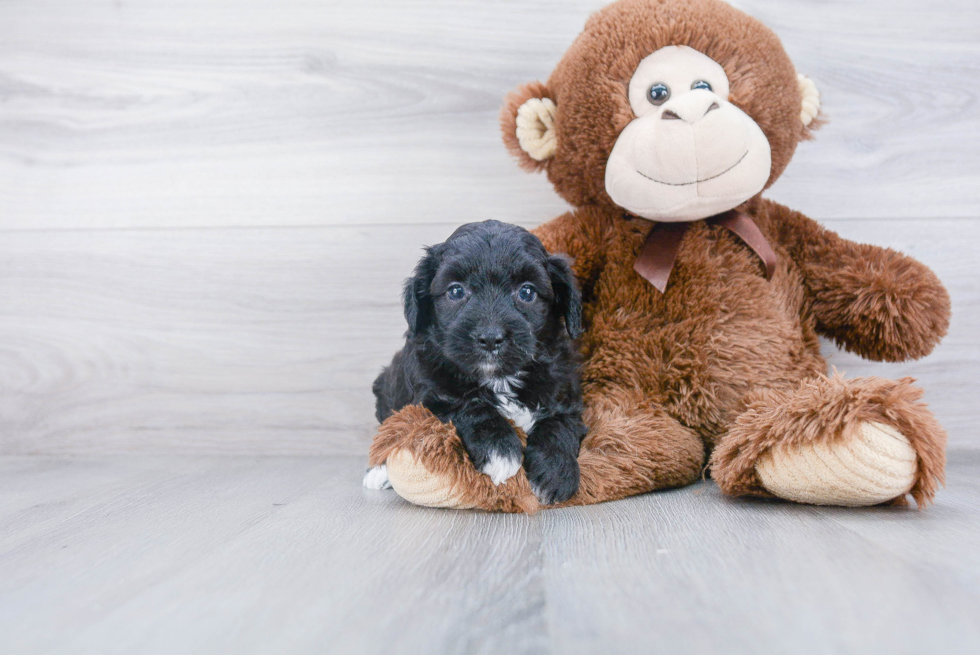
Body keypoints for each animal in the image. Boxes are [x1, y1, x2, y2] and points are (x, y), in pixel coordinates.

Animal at [366, 220, 584, 502]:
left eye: (527, 292)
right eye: (456, 291)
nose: (490, 338)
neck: (499, 378)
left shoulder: (565, 394)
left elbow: (560, 424)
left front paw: (555, 472)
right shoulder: (429, 399)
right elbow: (468, 406)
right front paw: (499, 449)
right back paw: (378, 472)